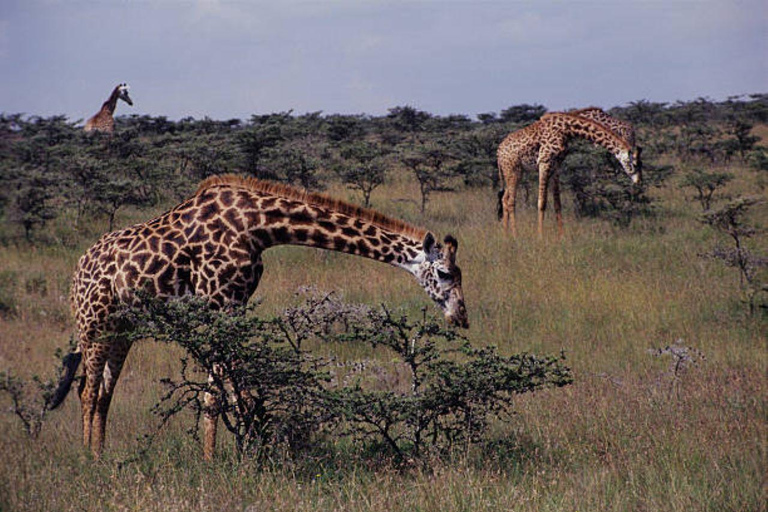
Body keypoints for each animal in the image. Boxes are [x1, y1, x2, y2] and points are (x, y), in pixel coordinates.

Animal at [49, 174, 468, 462]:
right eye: (445, 273)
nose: (461, 317)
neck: (259, 227)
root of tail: (76, 272)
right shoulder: (220, 301)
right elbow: (235, 394)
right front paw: (241, 458)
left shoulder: (231, 306)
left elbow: (218, 394)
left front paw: (223, 457)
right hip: (94, 324)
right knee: (87, 390)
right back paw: (87, 458)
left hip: (123, 330)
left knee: (104, 392)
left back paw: (101, 454)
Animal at [498, 112, 640, 236]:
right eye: (634, 163)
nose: (638, 180)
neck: (567, 129)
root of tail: (498, 153)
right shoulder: (544, 162)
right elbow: (542, 202)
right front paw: (540, 237)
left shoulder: (556, 166)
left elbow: (557, 203)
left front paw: (561, 237)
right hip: (513, 170)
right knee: (511, 201)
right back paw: (515, 236)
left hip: (516, 172)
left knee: (504, 198)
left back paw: (506, 235)